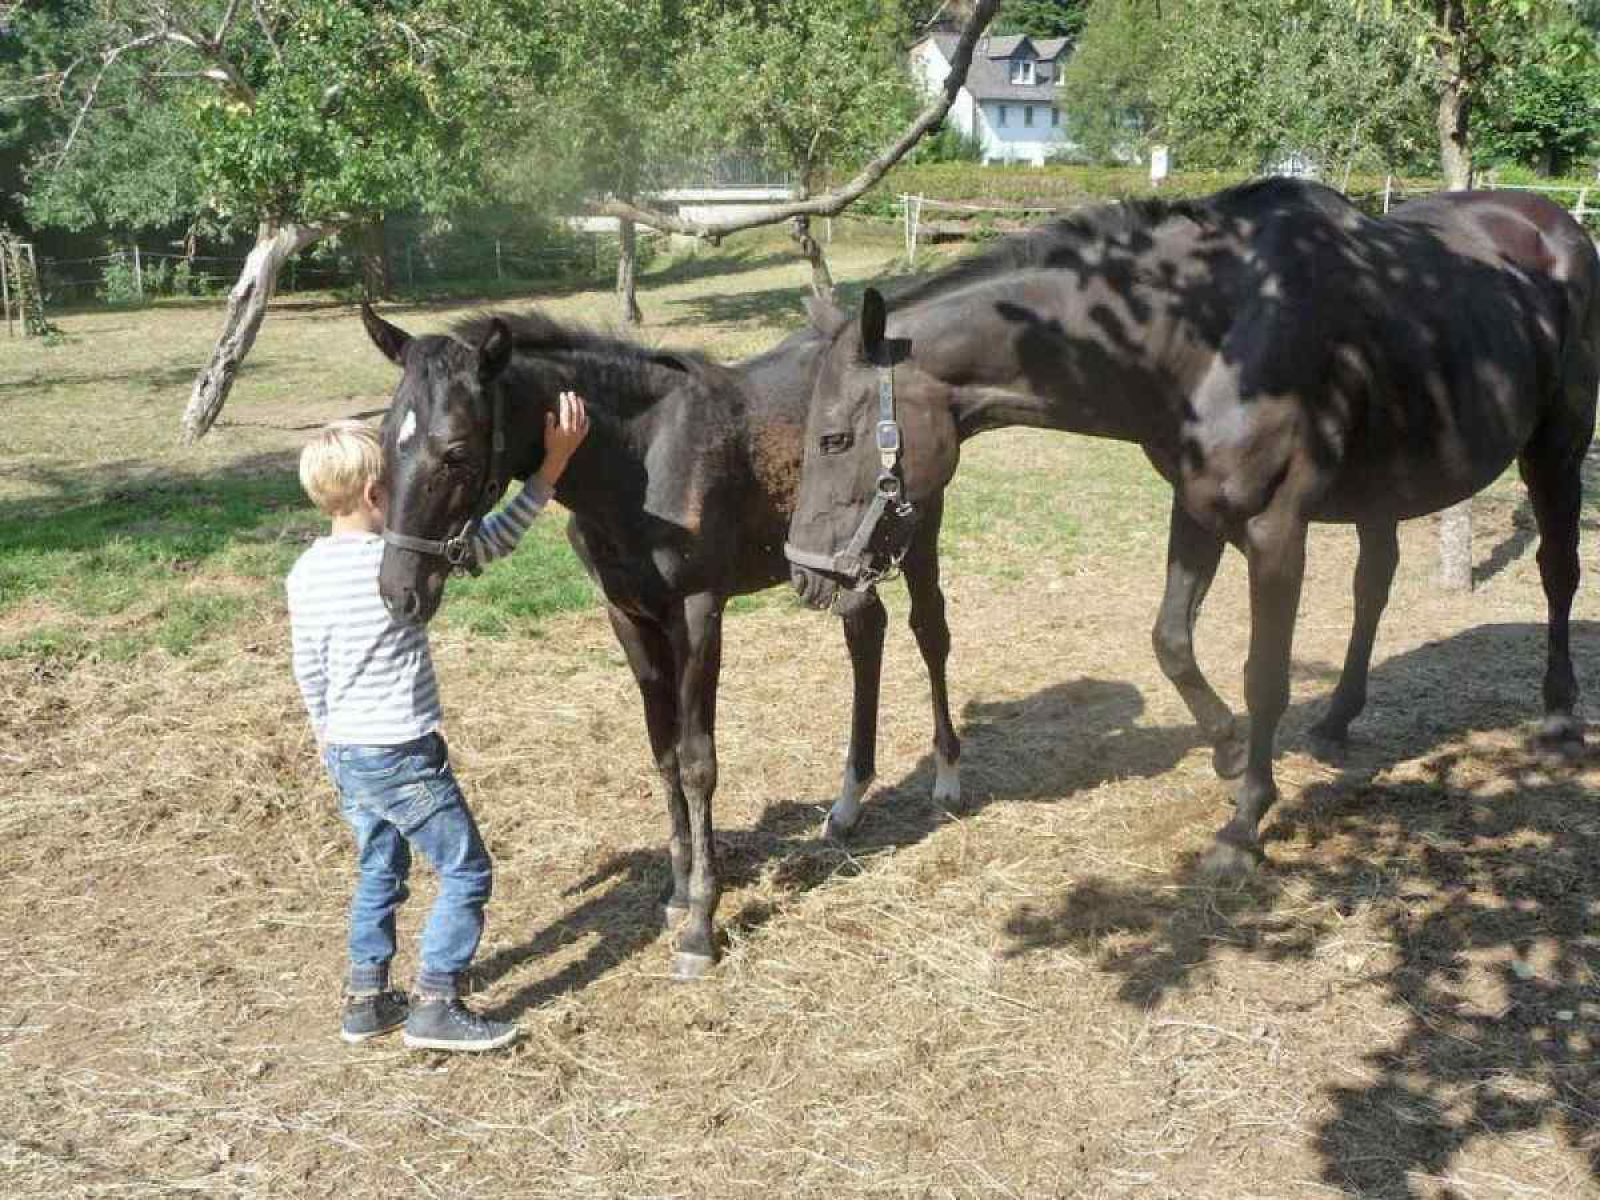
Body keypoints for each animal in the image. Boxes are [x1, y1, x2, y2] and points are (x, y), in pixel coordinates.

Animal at [361, 305, 960, 979]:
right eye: (383, 439)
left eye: (457, 452)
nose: (399, 591)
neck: (639, 459)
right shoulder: (629, 618)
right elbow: (664, 752)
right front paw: (677, 892)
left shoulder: (697, 613)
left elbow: (699, 762)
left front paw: (701, 923)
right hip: (845, 563)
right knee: (866, 630)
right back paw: (848, 803)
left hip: (914, 530)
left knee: (929, 629)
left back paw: (947, 777)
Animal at [787, 178, 1600, 876]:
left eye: (832, 439)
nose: (806, 575)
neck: (1205, 333)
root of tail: (1554, 223)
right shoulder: (1198, 509)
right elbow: (1171, 642)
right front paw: (1230, 751)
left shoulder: (1276, 530)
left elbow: (1264, 674)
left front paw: (1244, 825)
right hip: (1385, 489)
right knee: (1374, 587)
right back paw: (1338, 719)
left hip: (1556, 449)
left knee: (1558, 572)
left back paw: (1559, 715)